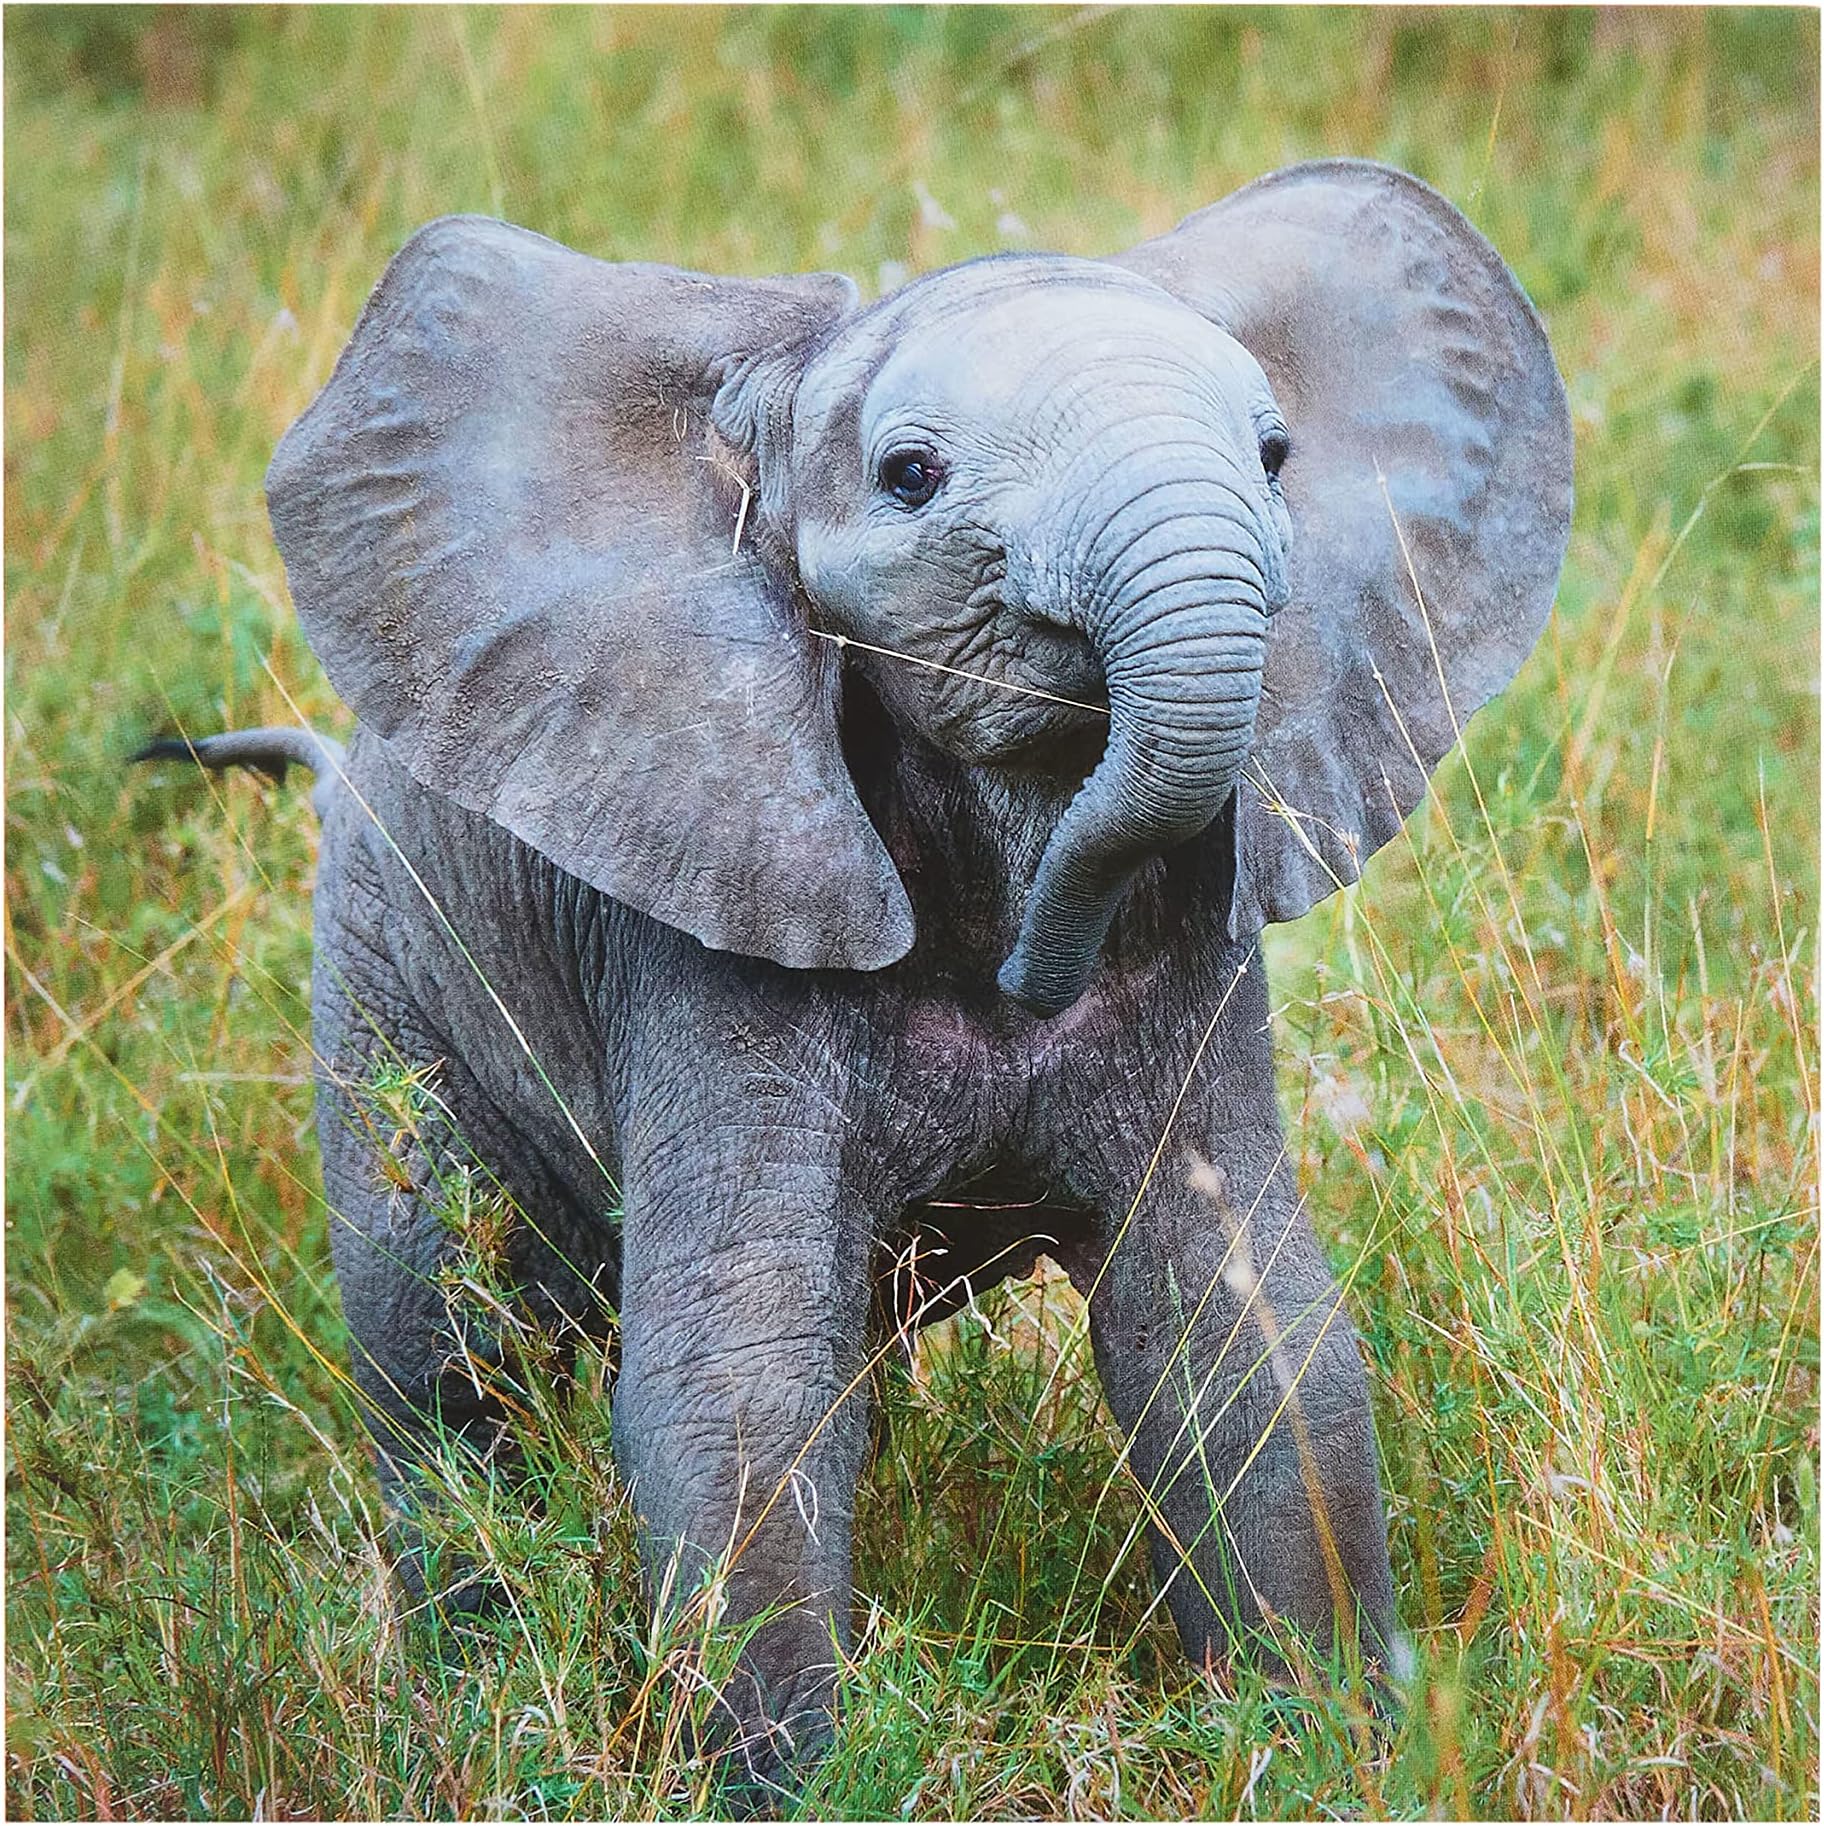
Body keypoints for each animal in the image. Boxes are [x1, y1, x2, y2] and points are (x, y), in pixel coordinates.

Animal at [139, 160, 1571, 1791]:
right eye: (909, 477)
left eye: (1277, 455)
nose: (1033, 972)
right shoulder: (705, 919)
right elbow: (741, 1377)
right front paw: (801, 1783)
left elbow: (1245, 1330)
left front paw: (1328, 1754)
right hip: (383, 975)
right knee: (450, 1356)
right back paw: (470, 1696)